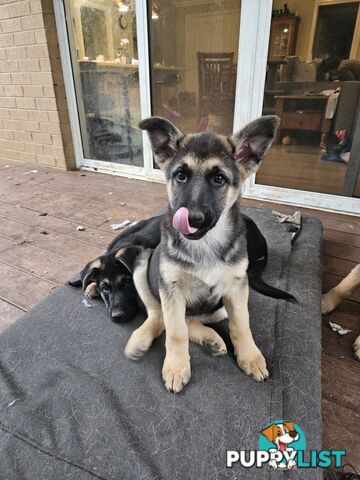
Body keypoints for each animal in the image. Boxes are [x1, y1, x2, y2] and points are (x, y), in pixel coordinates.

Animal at [125, 114, 282, 392]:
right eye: (180, 176)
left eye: (219, 179)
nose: (193, 219)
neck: (205, 245)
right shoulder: (171, 287)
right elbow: (175, 331)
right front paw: (176, 367)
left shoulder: (237, 287)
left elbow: (241, 325)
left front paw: (250, 357)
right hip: (143, 265)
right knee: (160, 315)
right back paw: (141, 339)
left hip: (220, 304)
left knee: (190, 319)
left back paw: (211, 338)